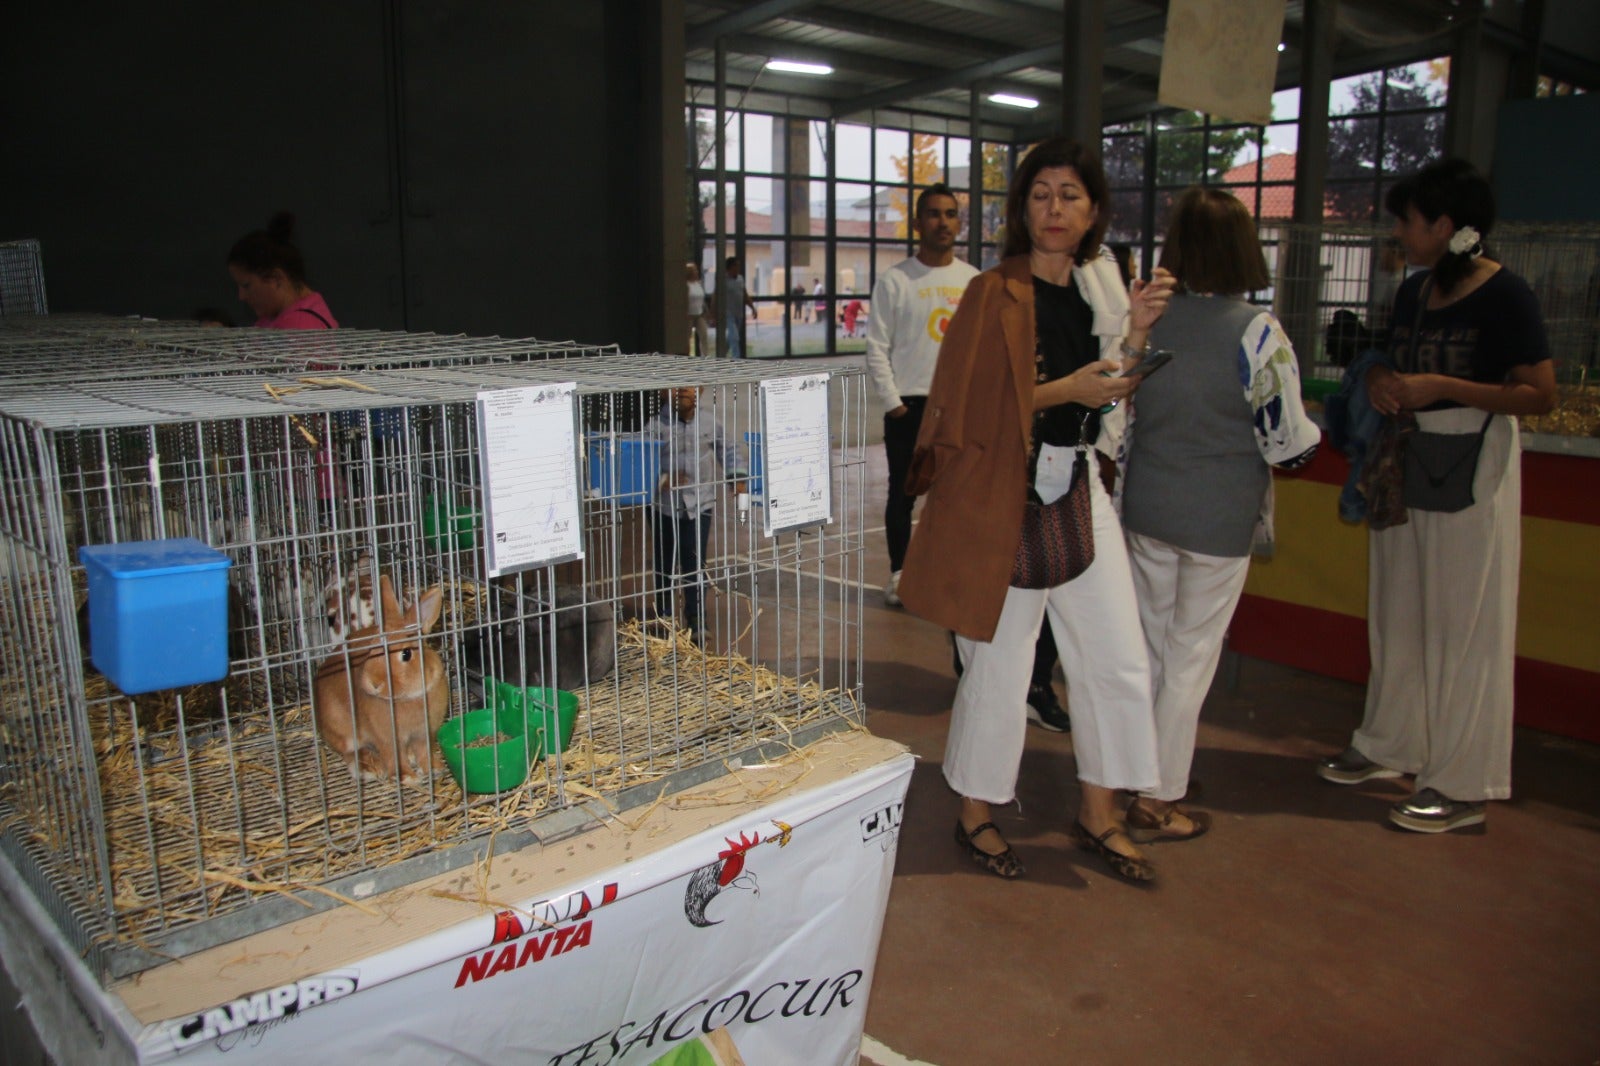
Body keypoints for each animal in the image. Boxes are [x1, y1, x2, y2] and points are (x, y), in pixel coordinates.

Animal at [308, 573, 448, 781]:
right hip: (344, 730)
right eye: (372, 647)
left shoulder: (423, 733)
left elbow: (424, 751)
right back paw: (370, 769)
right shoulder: (386, 738)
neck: (409, 697)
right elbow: (393, 756)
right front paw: (406, 776)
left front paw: (433, 769)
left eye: (406, 654)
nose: (373, 683)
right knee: (351, 752)